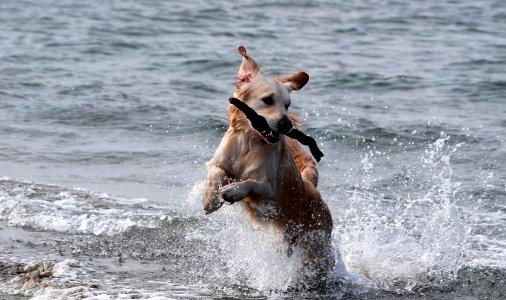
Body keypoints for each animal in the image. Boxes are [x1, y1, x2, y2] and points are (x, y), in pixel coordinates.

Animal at [204, 45, 334, 284]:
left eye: (288, 105)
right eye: (267, 100)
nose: (286, 124)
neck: (250, 141)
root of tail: (311, 186)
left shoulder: (268, 189)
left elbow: (251, 183)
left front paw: (232, 191)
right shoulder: (218, 161)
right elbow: (216, 171)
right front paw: (210, 198)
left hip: (316, 243)